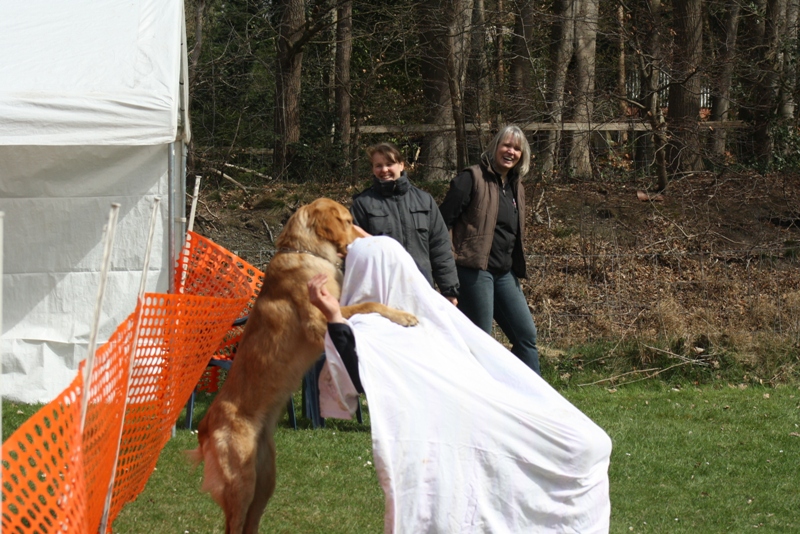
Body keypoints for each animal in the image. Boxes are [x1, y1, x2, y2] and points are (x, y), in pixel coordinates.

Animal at [188, 198, 417, 534]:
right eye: (349, 220)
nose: (370, 237)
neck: (306, 252)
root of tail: (204, 426)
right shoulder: (320, 324)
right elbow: (369, 303)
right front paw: (403, 315)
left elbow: (365, 303)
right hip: (241, 484)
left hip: (265, 481)